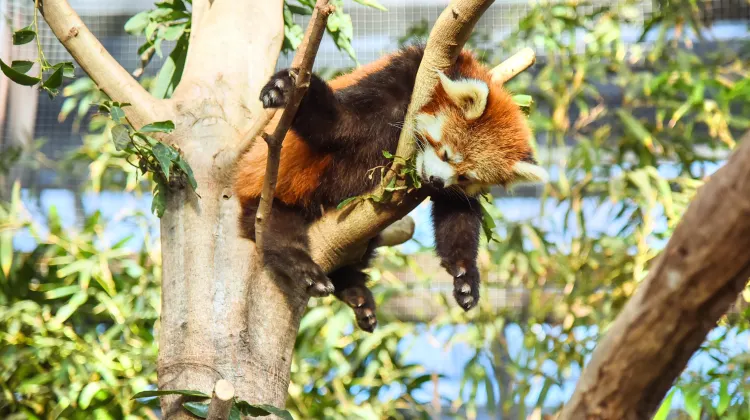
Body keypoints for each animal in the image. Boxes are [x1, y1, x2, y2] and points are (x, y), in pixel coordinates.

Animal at [235, 43, 548, 332]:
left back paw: (355, 292)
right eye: (446, 154)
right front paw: (285, 88)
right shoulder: (401, 76)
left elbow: (457, 211)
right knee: (278, 229)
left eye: (465, 178)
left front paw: (464, 275)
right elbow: (339, 124)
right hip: (270, 193)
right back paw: (304, 267)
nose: (436, 181)